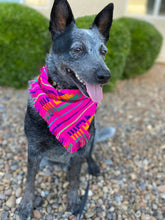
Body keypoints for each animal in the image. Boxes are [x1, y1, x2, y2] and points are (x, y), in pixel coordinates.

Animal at [17, 0, 113, 218]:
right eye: (77, 49)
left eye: (103, 52)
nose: (105, 76)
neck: (64, 96)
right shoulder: (33, 151)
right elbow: (29, 180)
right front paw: (26, 204)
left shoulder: (78, 152)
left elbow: (75, 180)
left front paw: (74, 201)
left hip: (91, 137)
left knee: (90, 154)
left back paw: (92, 166)